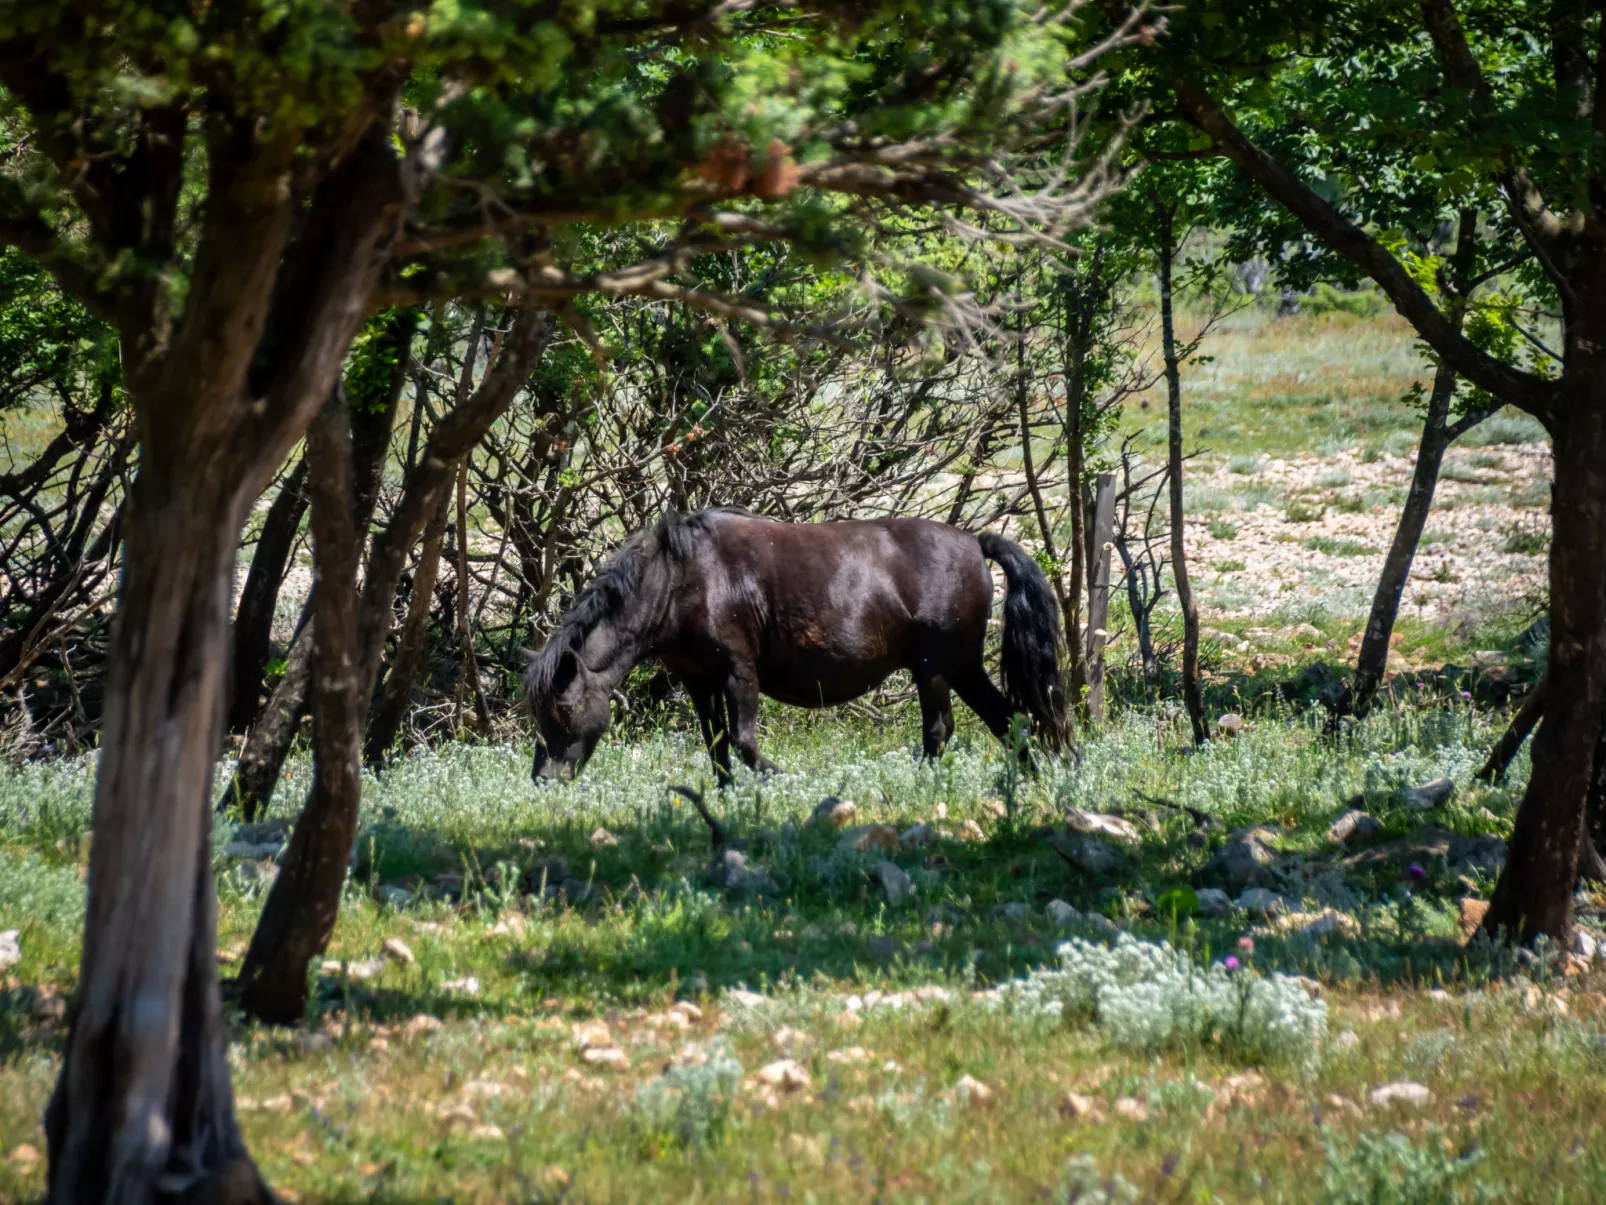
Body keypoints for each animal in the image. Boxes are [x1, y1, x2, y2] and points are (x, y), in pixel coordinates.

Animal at [523, 507, 1066, 784]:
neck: (679, 581)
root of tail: (975, 543)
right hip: (963, 666)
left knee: (939, 730)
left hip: (933, 667)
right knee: (1010, 720)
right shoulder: (699, 681)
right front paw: (725, 795)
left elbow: (743, 741)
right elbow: (716, 745)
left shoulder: (738, 672)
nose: (546, 779)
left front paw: (781, 779)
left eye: (564, 710)